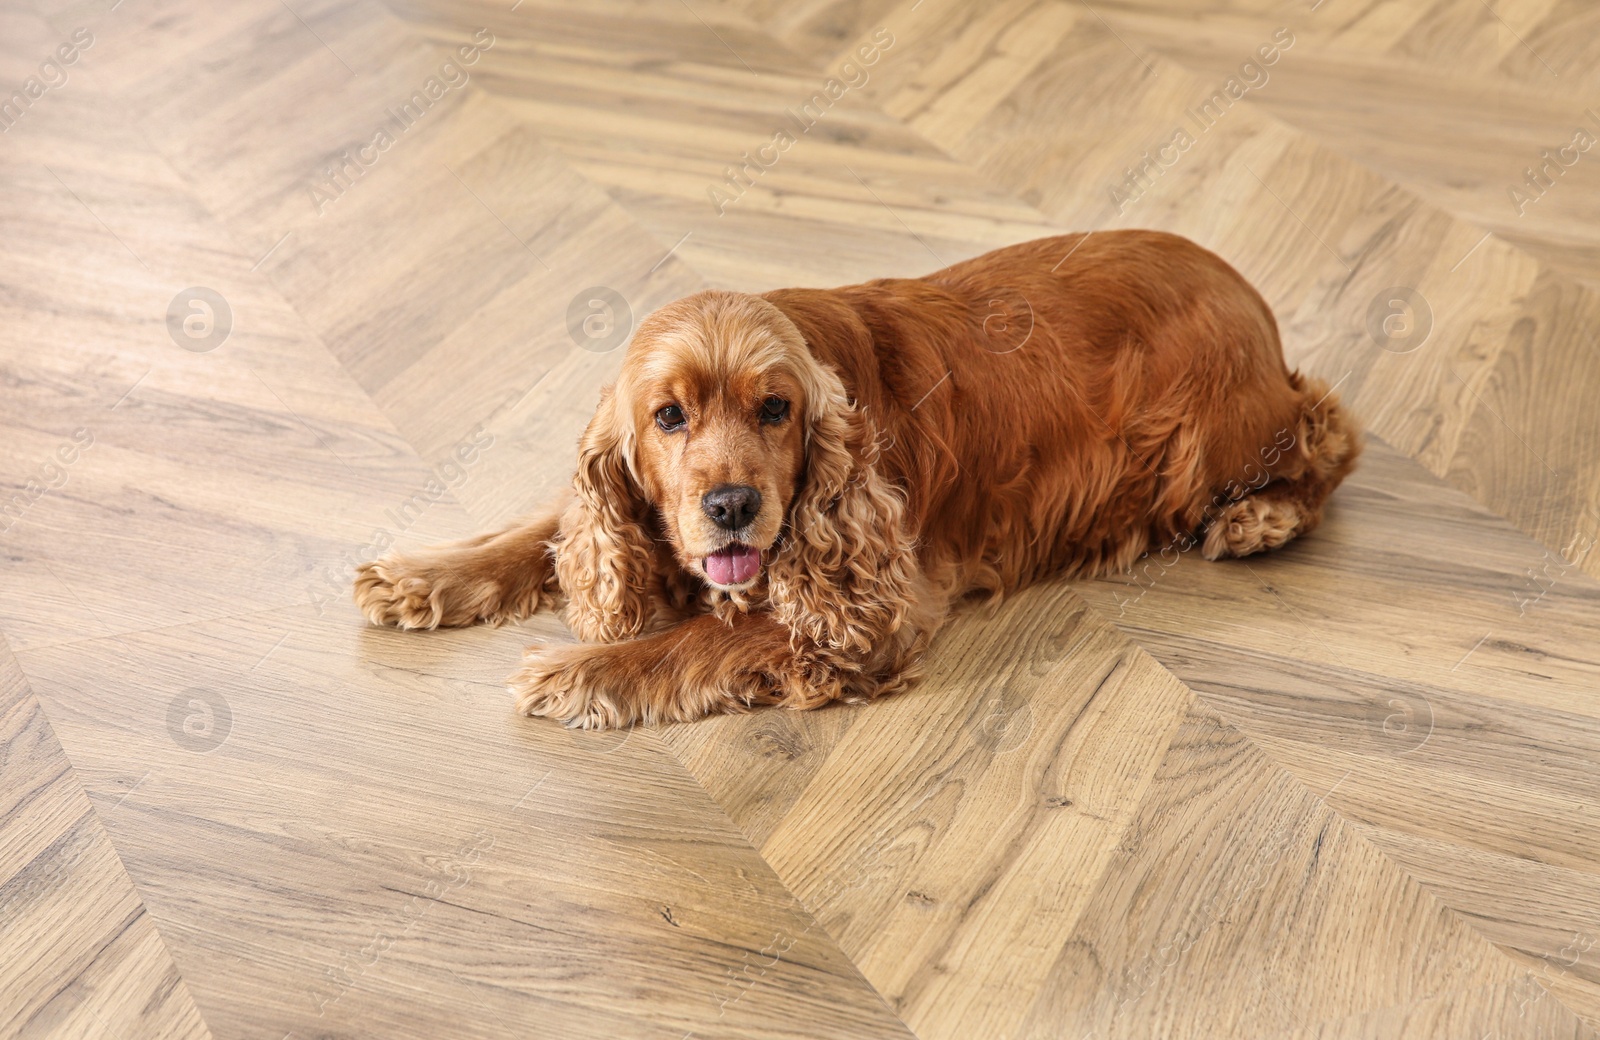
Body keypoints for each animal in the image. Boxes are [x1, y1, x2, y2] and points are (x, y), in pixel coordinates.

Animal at [356, 230, 1356, 726]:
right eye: (669, 417)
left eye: (775, 408)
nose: (732, 505)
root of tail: (1253, 301)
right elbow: (549, 533)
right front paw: (418, 576)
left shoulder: (880, 612)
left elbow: (703, 641)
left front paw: (577, 671)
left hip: (1205, 447)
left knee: (1332, 435)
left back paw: (1261, 522)